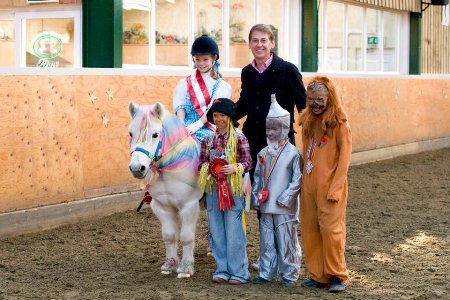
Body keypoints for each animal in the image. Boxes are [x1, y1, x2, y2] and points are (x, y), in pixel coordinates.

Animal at [128, 101, 202, 278]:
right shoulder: (162, 206)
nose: (137, 168)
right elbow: (169, 236)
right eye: (130, 133)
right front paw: (170, 264)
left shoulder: (189, 206)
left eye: (155, 135)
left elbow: (186, 237)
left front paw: (186, 268)